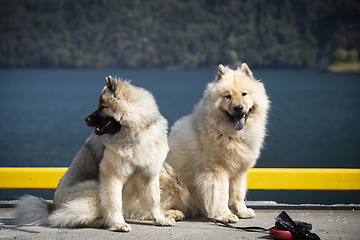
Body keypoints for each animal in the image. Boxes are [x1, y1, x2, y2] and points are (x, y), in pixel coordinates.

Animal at [14, 76, 175, 232]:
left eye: (103, 107)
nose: (86, 119)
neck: (136, 133)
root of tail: (52, 207)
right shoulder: (112, 174)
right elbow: (114, 201)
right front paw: (118, 223)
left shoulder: (149, 174)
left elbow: (154, 200)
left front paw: (160, 219)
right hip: (94, 187)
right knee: (68, 218)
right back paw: (103, 221)